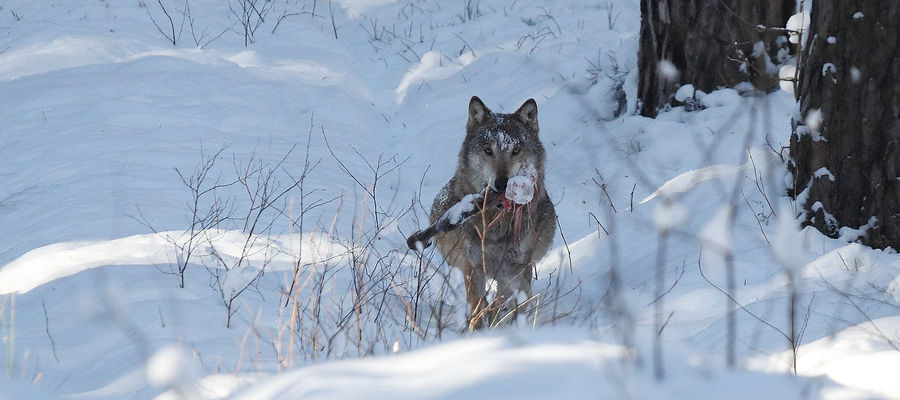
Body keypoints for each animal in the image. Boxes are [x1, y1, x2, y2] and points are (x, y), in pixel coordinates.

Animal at [414, 95, 556, 330]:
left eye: (516, 150)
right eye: (488, 150)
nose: (502, 183)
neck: (496, 223)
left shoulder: (513, 270)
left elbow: (505, 301)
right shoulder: (473, 268)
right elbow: (479, 305)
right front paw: (479, 331)